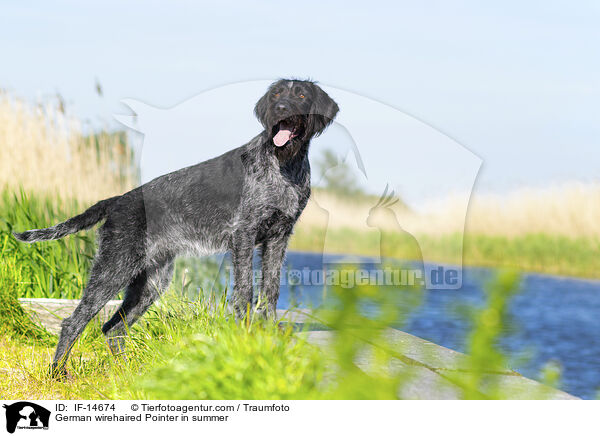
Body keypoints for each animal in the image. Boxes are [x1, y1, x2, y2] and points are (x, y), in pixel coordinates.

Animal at [14, 78, 340, 374]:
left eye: (301, 95)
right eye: (276, 95)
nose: (280, 109)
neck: (284, 163)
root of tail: (117, 200)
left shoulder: (279, 237)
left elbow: (270, 290)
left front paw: (269, 331)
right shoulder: (244, 235)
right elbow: (246, 290)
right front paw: (245, 333)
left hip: (151, 283)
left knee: (113, 328)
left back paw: (127, 374)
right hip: (114, 268)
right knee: (74, 322)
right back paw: (57, 374)